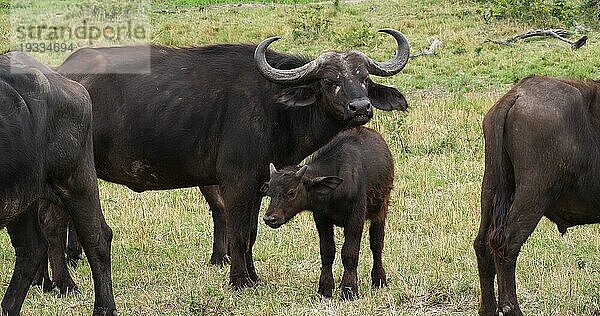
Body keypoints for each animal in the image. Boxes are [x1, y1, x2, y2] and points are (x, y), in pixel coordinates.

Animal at [262, 127, 394, 300]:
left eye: (291, 192)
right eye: (270, 193)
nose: (270, 218)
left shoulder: (355, 217)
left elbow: (349, 253)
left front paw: (349, 290)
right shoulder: (321, 218)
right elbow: (327, 252)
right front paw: (325, 288)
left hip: (380, 210)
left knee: (377, 244)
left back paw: (379, 280)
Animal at [476, 75, 600, 314]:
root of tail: (517, 94)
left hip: (491, 186)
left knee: (482, 245)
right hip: (534, 193)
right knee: (507, 244)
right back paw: (512, 308)